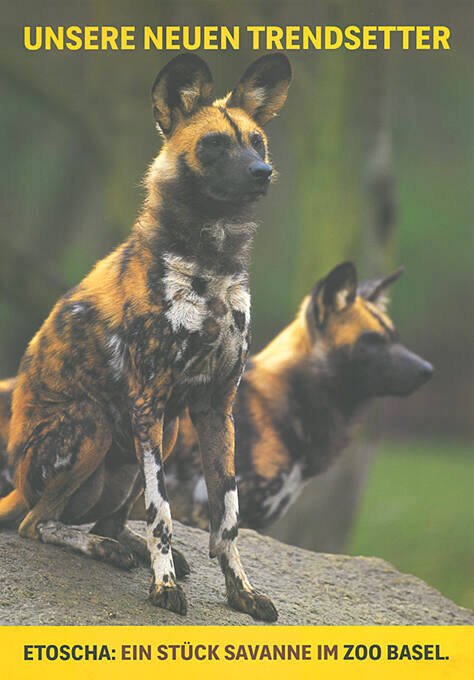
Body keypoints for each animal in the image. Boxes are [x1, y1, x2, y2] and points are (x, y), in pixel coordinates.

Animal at [0, 53, 292, 620]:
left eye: (257, 142)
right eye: (214, 144)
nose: (263, 173)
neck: (212, 264)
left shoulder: (215, 406)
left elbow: (227, 518)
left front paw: (241, 592)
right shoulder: (149, 401)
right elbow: (161, 510)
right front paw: (164, 589)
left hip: (161, 433)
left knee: (103, 519)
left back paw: (133, 547)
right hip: (94, 427)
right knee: (37, 523)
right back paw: (111, 551)